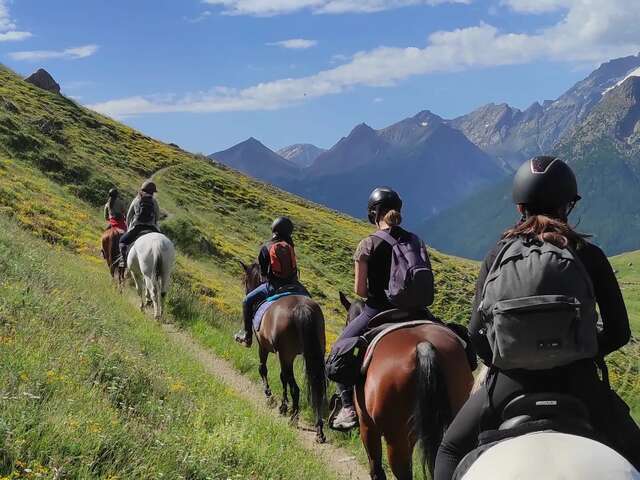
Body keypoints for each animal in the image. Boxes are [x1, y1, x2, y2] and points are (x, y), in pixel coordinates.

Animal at [241, 262, 327, 443]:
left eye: (245, 280)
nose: (246, 290)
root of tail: (302, 309)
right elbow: (282, 377)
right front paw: (283, 405)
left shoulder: (264, 346)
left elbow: (263, 369)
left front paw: (271, 398)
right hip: (314, 354)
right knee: (315, 388)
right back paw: (318, 429)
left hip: (286, 354)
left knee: (295, 387)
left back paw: (294, 418)